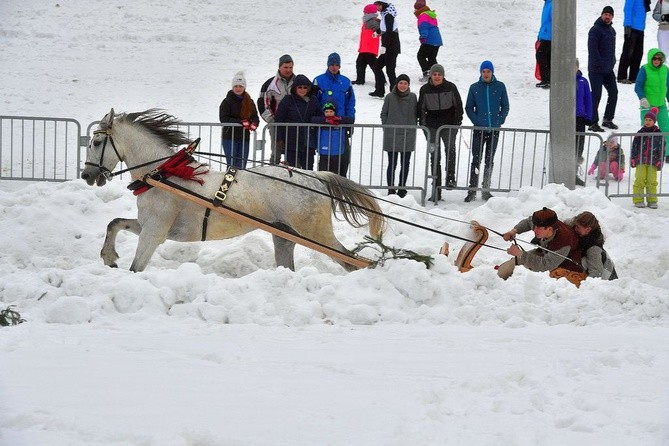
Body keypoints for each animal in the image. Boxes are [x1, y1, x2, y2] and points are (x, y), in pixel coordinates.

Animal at [82, 110, 386, 274]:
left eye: (96, 142)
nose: (87, 175)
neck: (163, 174)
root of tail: (315, 177)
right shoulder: (148, 225)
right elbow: (115, 223)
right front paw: (109, 257)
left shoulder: (155, 231)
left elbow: (136, 267)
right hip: (285, 236)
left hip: (316, 232)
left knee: (351, 261)